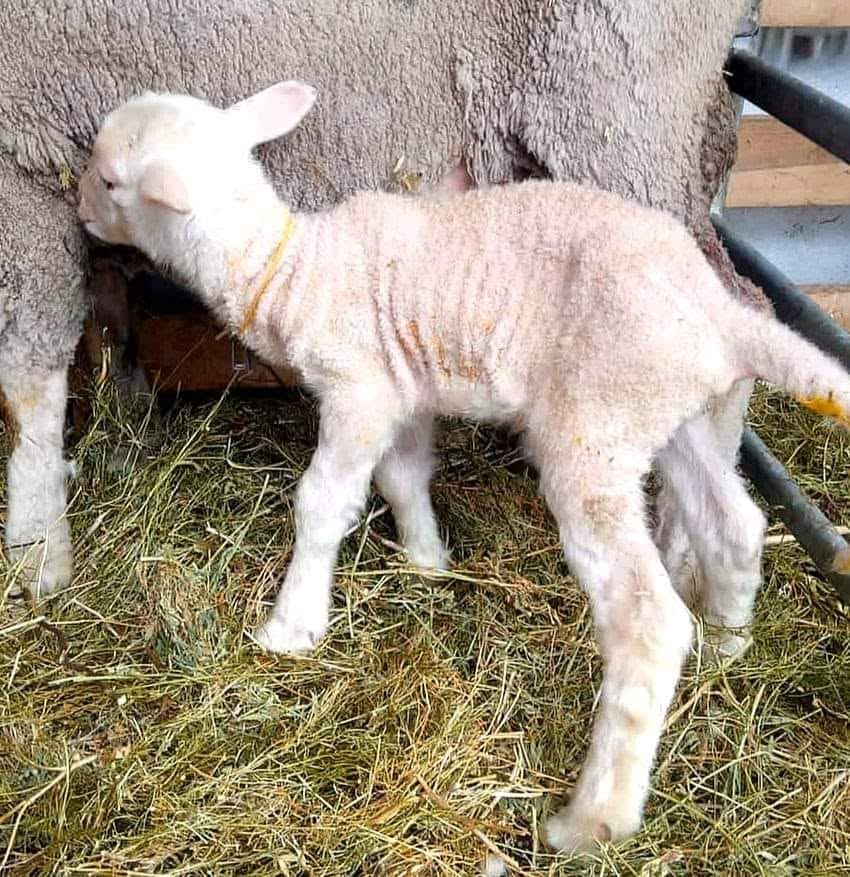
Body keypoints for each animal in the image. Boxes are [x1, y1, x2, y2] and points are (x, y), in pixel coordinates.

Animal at [0, 0, 759, 598]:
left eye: (107, 177)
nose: (86, 207)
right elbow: (107, 319)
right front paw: (125, 417)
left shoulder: (19, 170)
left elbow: (29, 384)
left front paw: (38, 552)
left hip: (615, 112)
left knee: (728, 309)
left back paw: (689, 551)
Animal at [77, 83, 850, 854]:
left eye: (111, 181)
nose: (81, 215)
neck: (293, 269)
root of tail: (721, 316)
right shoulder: (404, 392)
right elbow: (404, 478)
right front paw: (427, 561)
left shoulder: (358, 389)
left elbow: (322, 503)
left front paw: (292, 625)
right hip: (670, 411)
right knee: (735, 523)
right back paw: (728, 647)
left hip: (598, 425)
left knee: (650, 621)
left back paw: (592, 818)